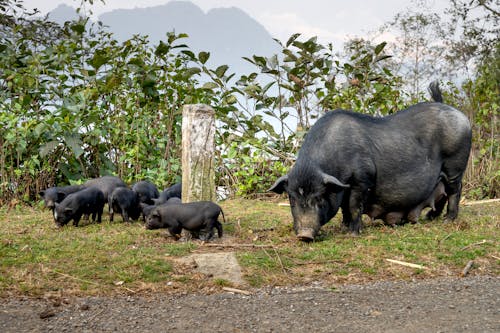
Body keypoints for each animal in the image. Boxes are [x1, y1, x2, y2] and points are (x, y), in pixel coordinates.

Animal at [270, 82, 468, 240]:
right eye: (291, 198)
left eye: (319, 197)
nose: (304, 235)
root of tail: (460, 115)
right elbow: (344, 208)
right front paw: (343, 227)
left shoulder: (362, 178)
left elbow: (354, 205)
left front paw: (352, 233)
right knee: (442, 192)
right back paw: (430, 218)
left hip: (455, 164)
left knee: (455, 191)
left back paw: (448, 221)